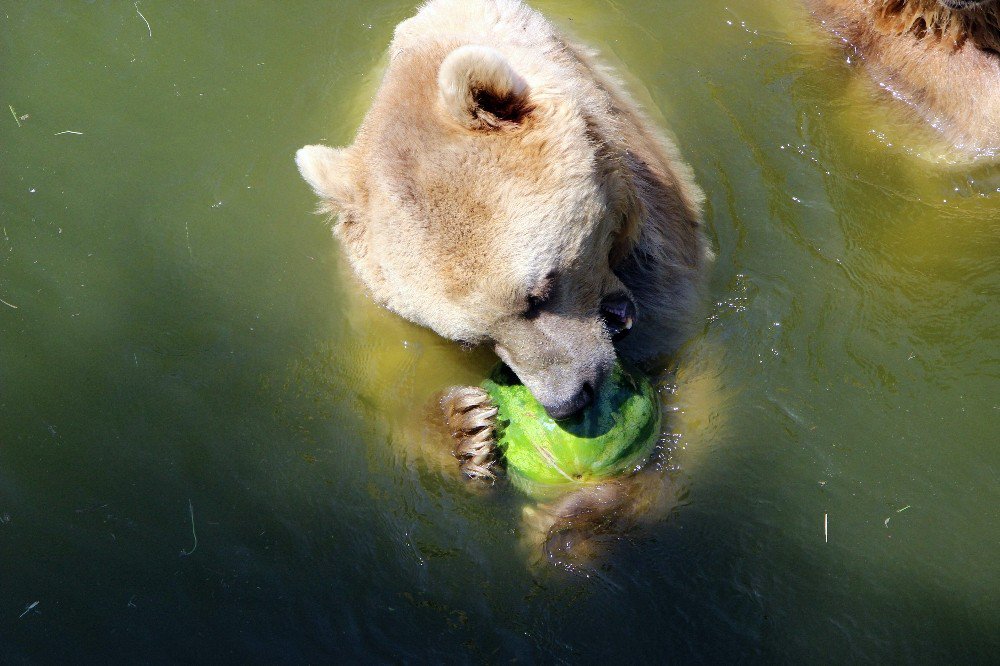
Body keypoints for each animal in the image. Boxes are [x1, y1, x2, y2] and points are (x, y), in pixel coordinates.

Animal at [292, 0, 708, 560]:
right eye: (472, 337)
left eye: (539, 292)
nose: (567, 399)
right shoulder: (374, 310)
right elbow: (387, 389)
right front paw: (465, 429)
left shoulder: (665, 258)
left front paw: (571, 520)